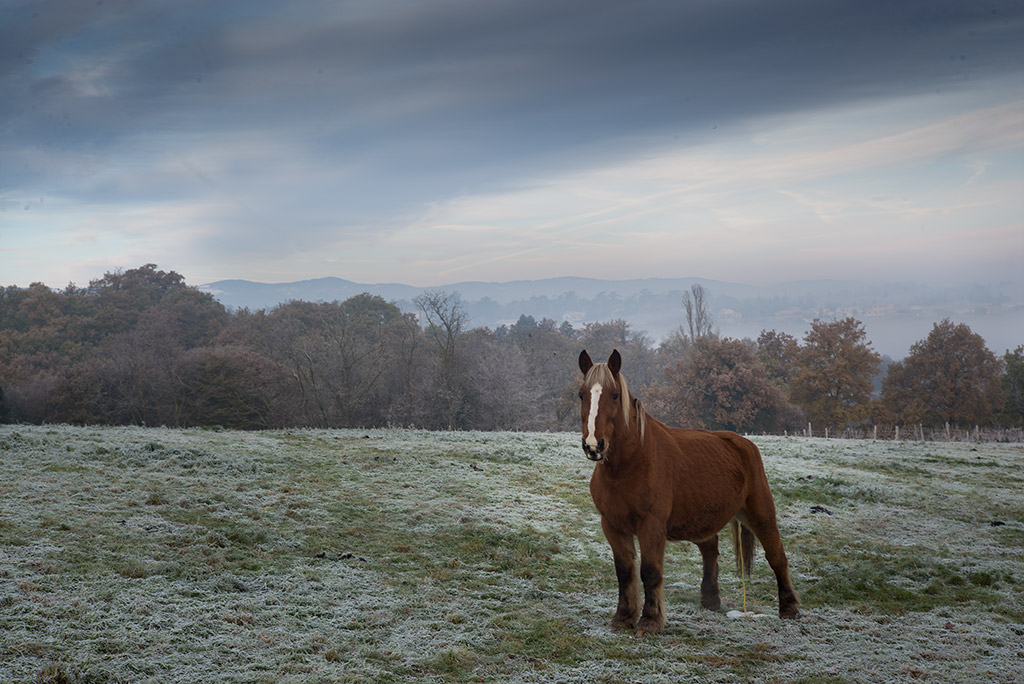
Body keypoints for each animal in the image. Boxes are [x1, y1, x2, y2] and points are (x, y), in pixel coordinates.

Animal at [578, 349, 799, 635]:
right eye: (581, 394)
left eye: (615, 395)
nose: (594, 445)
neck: (629, 464)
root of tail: (743, 443)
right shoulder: (612, 525)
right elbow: (625, 572)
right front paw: (624, 617)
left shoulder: (651, 526)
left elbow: (650, 572)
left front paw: (650, 621)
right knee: (710, 551)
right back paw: (710, 600)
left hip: (761, 514)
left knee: (777, 556)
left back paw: (789, 608)